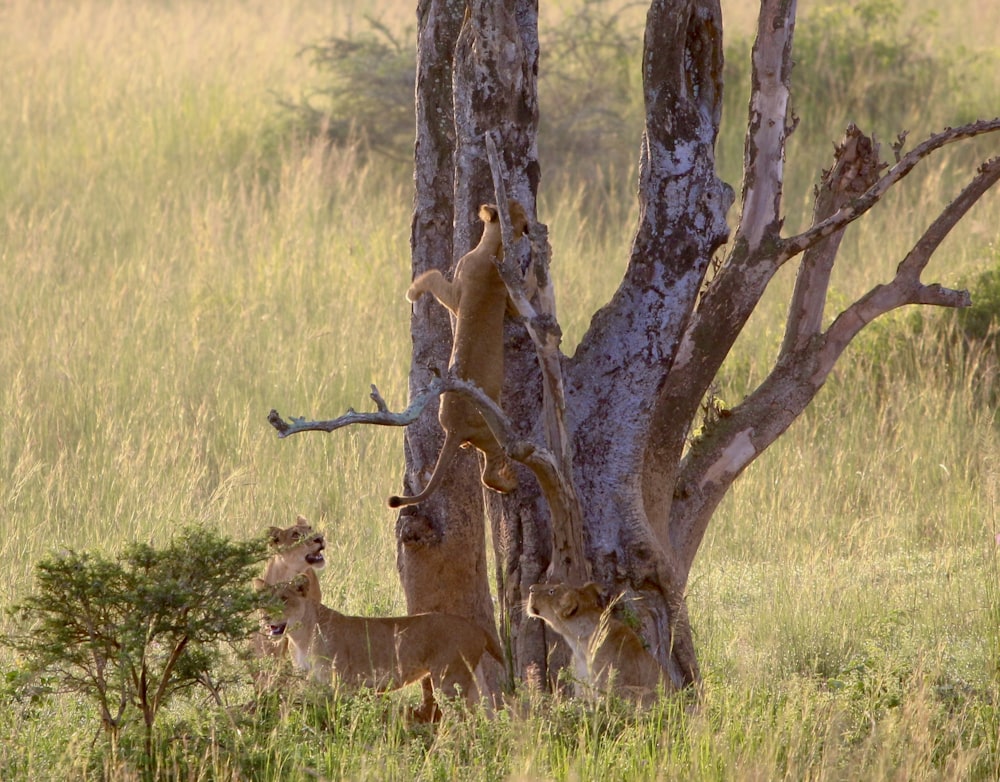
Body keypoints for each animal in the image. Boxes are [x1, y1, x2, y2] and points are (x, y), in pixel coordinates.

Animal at [254, 580, 504, 720]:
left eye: (284, 598)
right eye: (262, 599)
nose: (265, 617)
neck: (300, 636)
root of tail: (475, 626)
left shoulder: (341, 683)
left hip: (449, 681)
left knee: (463, 722)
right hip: (472, 677)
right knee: (489, 714)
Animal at [386, 199, 532, 512]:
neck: (493, 246)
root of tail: (455, 429)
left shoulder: (458, 295)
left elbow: (434, 277)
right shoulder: (490, 295)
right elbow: (433, 276)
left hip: (478, 431)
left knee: (487, 470)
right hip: (487, 431)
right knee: (488, 470)